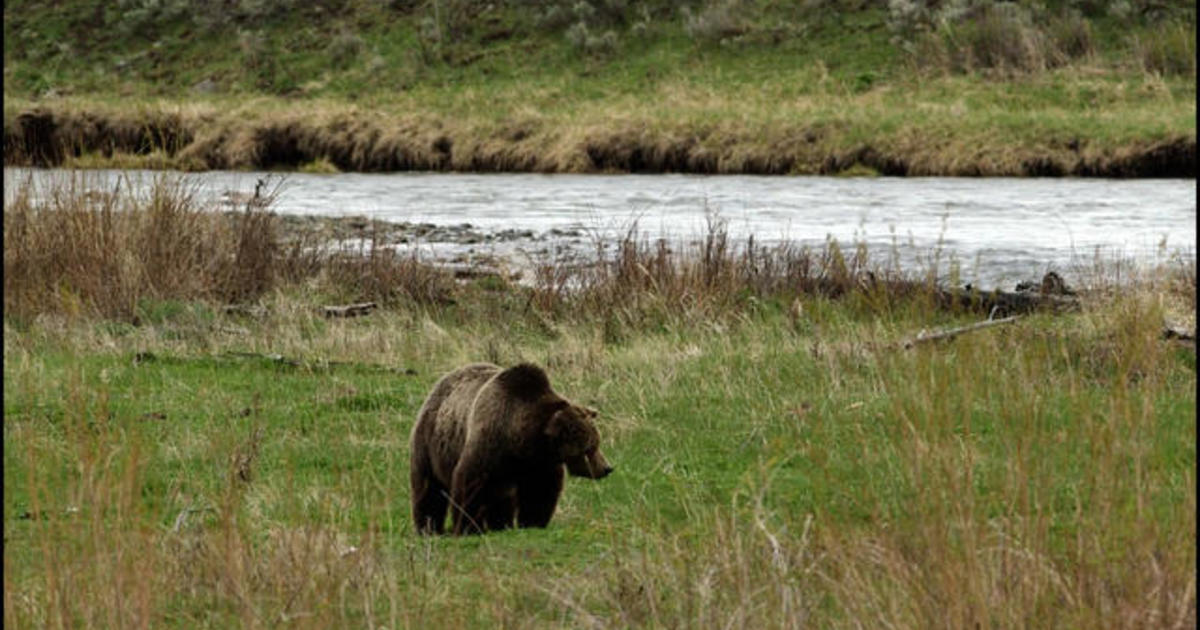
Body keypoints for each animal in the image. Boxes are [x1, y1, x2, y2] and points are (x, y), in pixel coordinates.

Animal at [412, 360, 619, 532]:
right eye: (590, 448)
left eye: (596, 443)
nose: (607, 468)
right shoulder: (488, 442)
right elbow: (470, 484)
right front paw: (468, 526)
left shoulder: (540, 462)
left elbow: (540, 490)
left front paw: (533, 522)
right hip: (431, 443)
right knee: (428, 487)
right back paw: (428, 526)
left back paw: (499, 524)